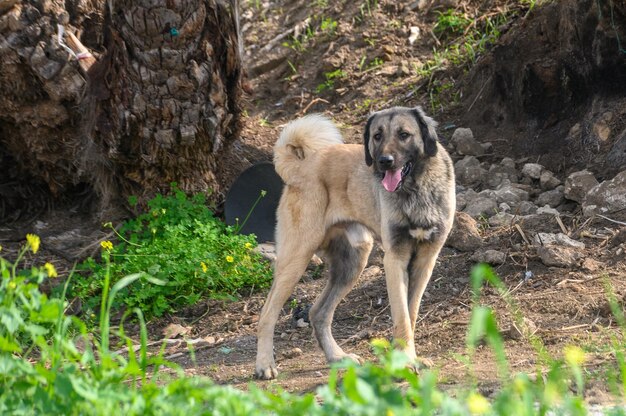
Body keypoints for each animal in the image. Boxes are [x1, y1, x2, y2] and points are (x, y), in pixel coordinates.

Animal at [252, 105, 454, 378]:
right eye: (377, 136)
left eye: (404, 134)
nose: (384, 162)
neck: (416, 188)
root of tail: (299, 167)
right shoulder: (395, 260)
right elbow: (401, 317)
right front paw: (405, 361)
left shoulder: (425, 262)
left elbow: (410, 314)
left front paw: (410, 357)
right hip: (296, 259)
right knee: (267, 314)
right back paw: (265, 364)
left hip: (352, 264)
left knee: (318, 313)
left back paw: (337, 356)